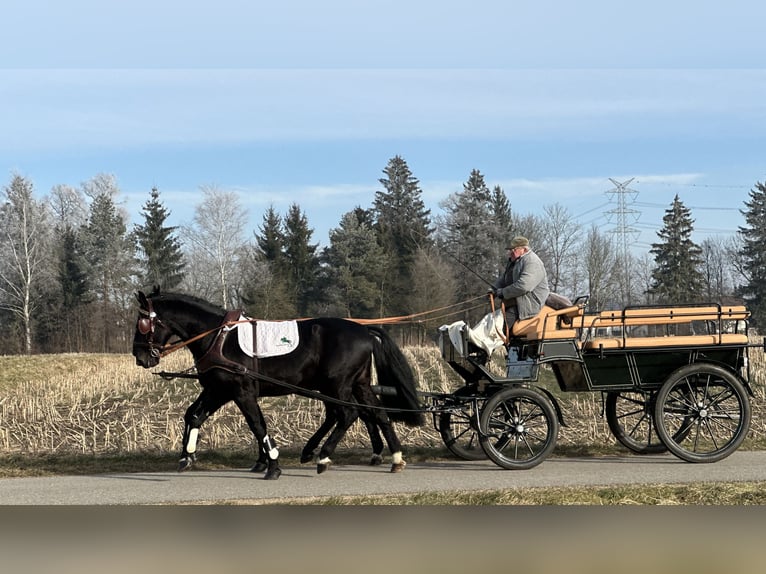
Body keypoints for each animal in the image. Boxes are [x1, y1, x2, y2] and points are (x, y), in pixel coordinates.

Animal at [132, 288, 426, 482]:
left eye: (143, 323)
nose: (140, 357)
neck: (218, 338)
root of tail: (364, 330)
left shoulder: (241, 391)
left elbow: (257, 424)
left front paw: (272, 464)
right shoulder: (219, 389)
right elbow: (193, 415)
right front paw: (187, 456)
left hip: (337, 385)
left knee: (347, 413)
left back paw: (323, 457)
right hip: (358, 384)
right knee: (377, 414)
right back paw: (395, 457)